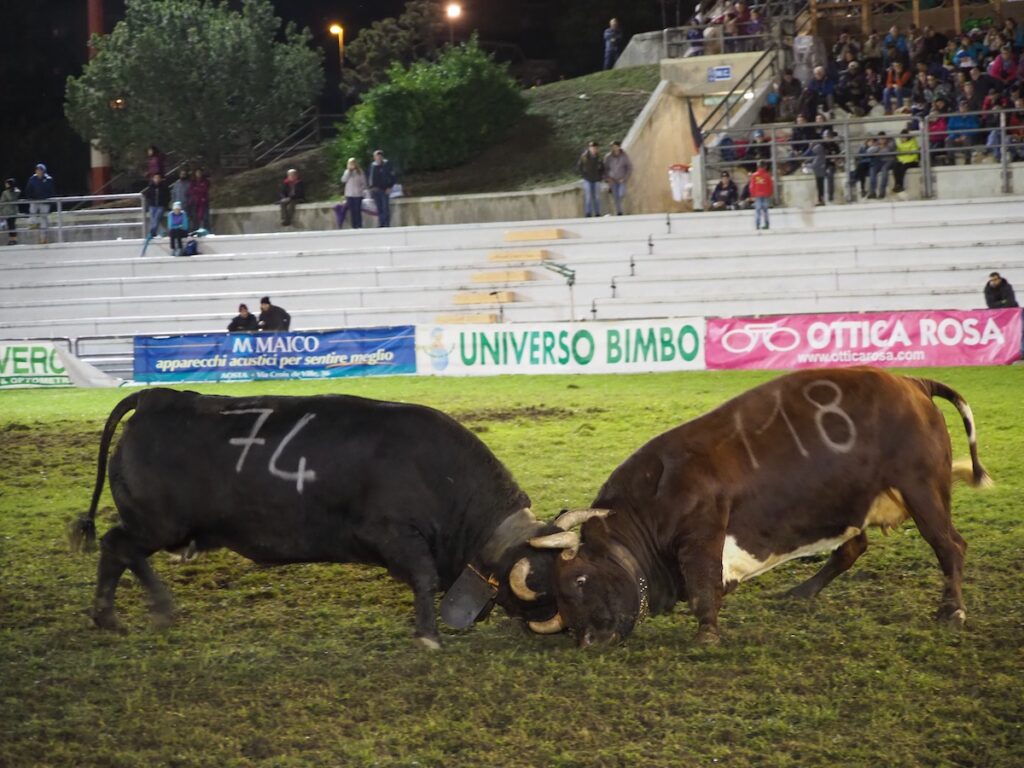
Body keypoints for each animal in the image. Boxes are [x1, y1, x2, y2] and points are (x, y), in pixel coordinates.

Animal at [70, 391, 569, 651]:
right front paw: (427, 635)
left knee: (119, 551)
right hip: (159, 524)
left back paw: (112, 617)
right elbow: (424, 578)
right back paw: (145, 610)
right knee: (118, 546)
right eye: (544, 582)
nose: (567, 629)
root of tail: (156, 397)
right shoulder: (393, 534)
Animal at [512, 370, 991, 647]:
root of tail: (912, 383)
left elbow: (703, 585)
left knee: (951, 546)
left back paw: (953, 610)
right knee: (853, 548)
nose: (589, 640)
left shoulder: (703, 528)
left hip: (921, 488)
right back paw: (801, 591)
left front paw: (706, 635)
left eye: (579, 580)